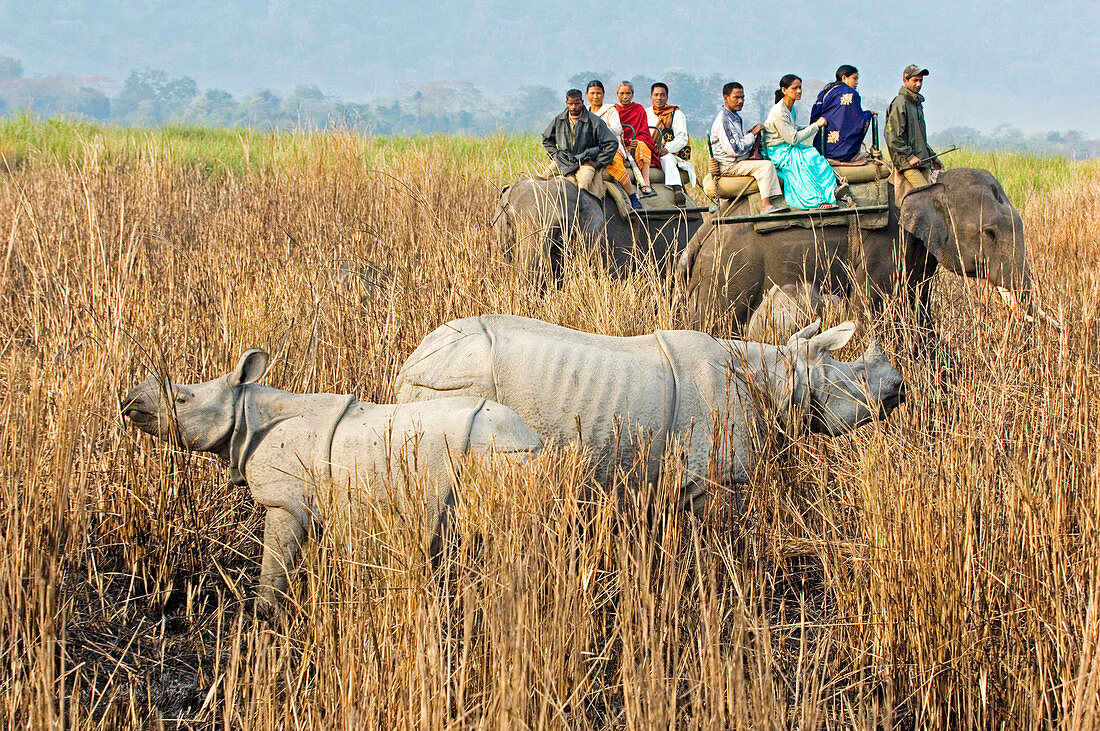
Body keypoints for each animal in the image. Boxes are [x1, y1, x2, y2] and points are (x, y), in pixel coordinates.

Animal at [120, 347, 541, 611]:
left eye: (182, 400)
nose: (129, 400)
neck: (245, 412)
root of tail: (530, 438)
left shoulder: (285, 501)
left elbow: (275, 561)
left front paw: (262, 613)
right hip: (509, 453)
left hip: (493, 454)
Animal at [396, 314, 902, 512]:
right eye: (855, 377)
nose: (899, 387)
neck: (781, 373)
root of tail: (411, 362)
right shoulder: (713, 477)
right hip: (454, 385)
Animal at [677, 167, 1047, 334]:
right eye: (990, 233)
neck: (926, 186)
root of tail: (706, 229)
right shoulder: (882, 247)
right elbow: (876, 312)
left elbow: (918, 309)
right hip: (730, 271)